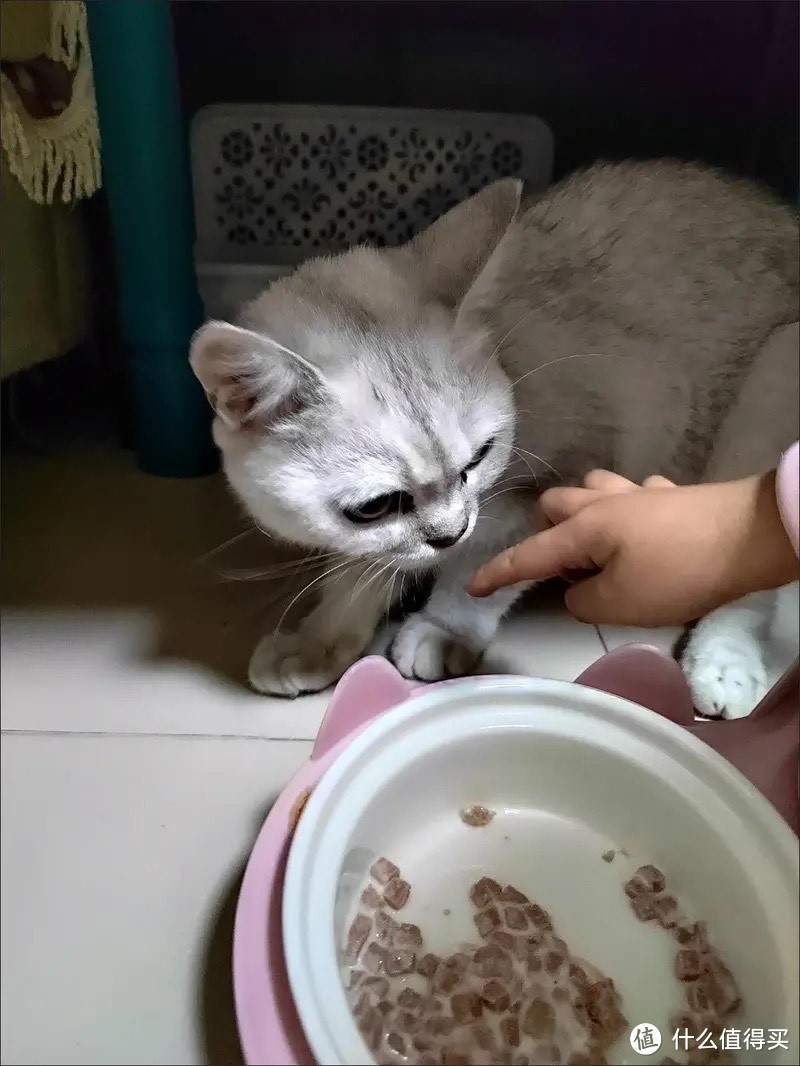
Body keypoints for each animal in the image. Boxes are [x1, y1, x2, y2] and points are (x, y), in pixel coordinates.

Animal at [190, 159, 797, 716]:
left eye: (478, 458)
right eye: (375, 506)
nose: (449, 532)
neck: (510, 353)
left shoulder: (562, 479)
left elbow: (485, 568)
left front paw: (444, 628)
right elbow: (366, 565)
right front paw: (321, 641)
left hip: (772, 377)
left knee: (747, 581)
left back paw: (723, 666)